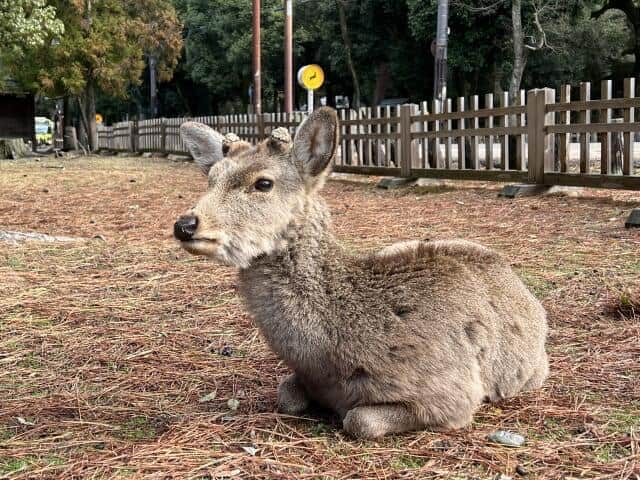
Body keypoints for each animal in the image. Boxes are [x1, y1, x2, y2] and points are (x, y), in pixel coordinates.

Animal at [174, 108, 549, 439]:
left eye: (263, 183)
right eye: (211, 178)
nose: (185, 224)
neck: (329, 362)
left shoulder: (453, 394)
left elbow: (359, 420)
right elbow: (287, 396)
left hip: (534, 370)